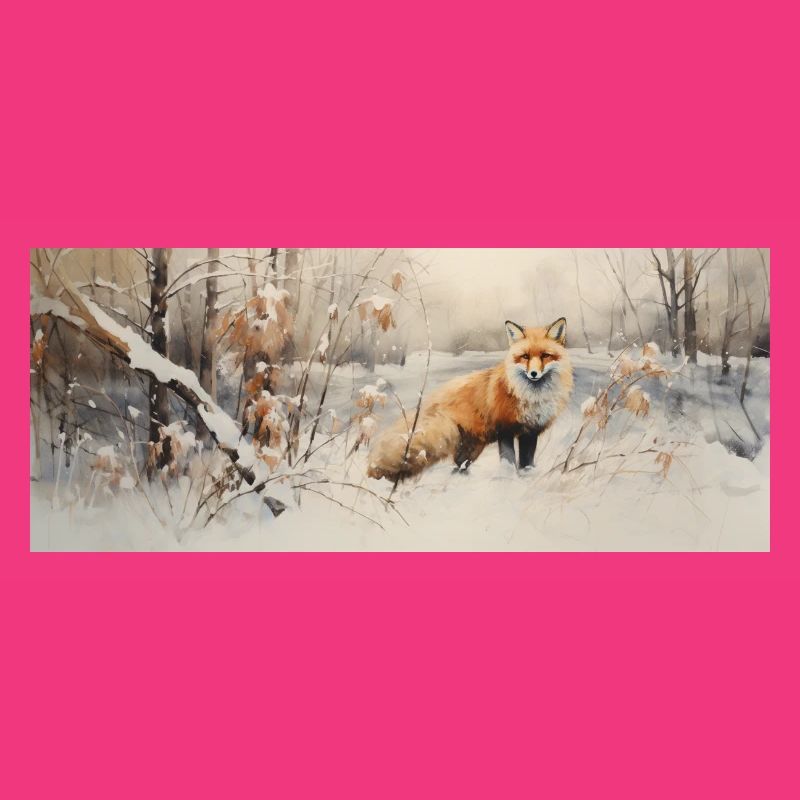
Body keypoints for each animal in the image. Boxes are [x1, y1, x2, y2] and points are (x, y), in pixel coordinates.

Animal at [367, 317, 573, 481]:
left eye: (545, 356)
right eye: (525, 356)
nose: (533, 374)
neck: (531, 398)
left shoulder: (530, 432)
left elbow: (527, 462)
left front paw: (527, 476)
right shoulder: (505, 429)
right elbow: (508, 461)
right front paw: (508, 479)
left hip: (471, 448)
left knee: (458, 466)